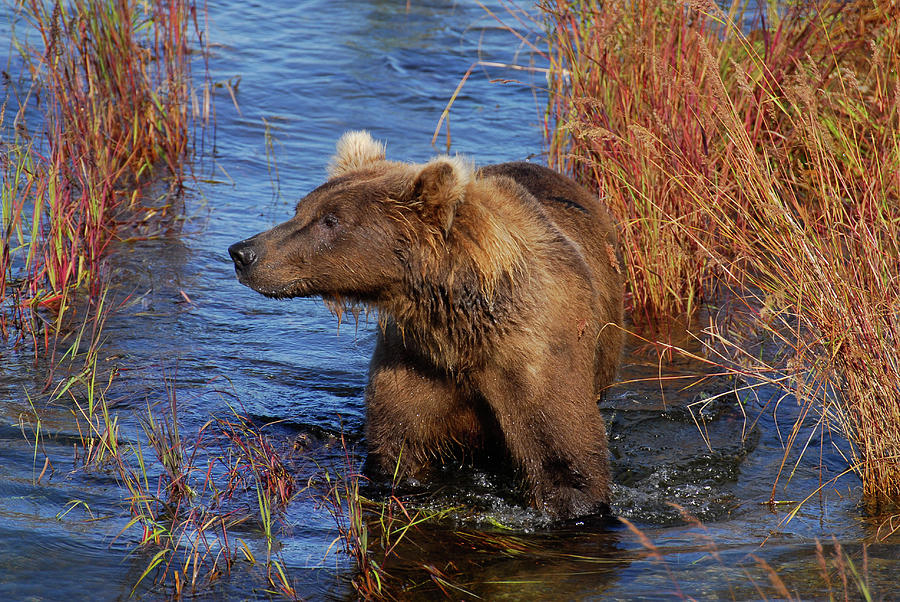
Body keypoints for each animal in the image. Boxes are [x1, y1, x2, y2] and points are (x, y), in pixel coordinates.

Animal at [229, 134, 624, 516]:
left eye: (331, 219)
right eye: (301, 209)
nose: (242, 252)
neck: (457, 329)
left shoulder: (535, 358)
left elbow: (566, 462)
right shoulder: (415, 362)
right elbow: (400, 447)